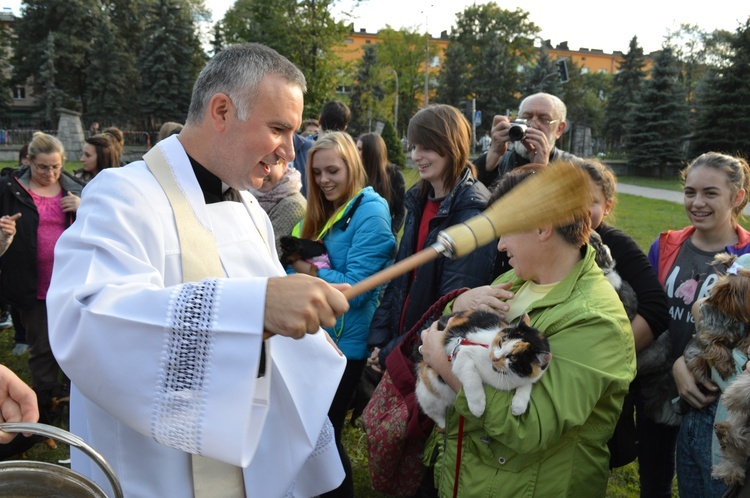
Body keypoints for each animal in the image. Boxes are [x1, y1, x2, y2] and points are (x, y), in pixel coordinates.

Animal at [418, 310, 552, 430]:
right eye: (501, 342)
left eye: (513, 358)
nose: (495, 357)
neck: (503, 375)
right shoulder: (463, 352)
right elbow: (471, 378)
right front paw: (477, 406)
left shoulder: (529, 377)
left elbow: (528, 384)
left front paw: (519, 405)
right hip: (429, 394)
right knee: (432, 412)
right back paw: (443, 424)